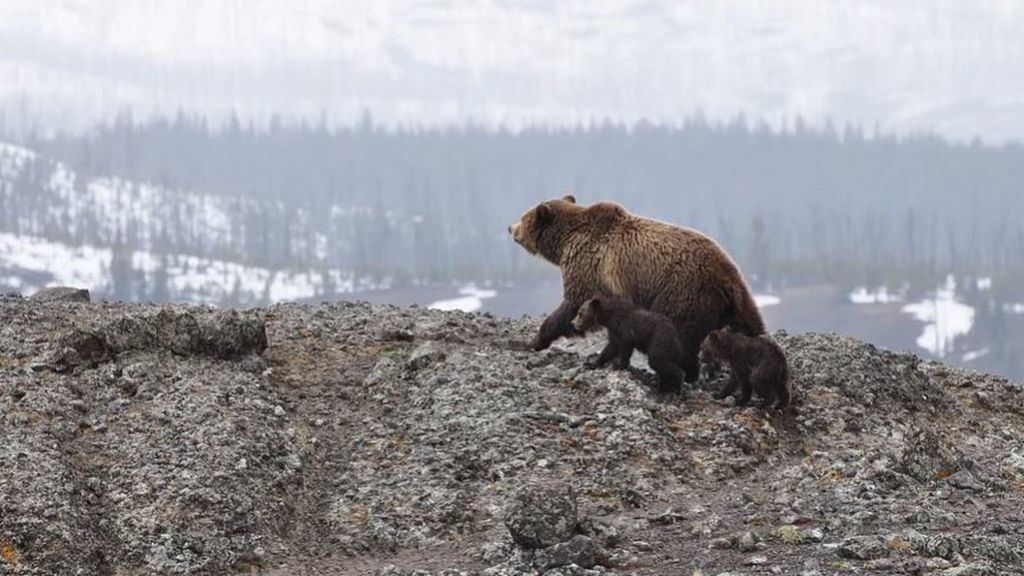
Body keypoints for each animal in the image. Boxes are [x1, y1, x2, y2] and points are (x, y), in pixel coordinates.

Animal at [508, 195, 764, 383]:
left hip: (682, 292)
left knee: (680, 337)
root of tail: (727, 276)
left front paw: (533, 341)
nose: (510, 227)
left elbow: (571, 305)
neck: (564, 243)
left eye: (523, 216)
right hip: (734, 304)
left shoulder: (589, 267)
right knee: (750, 327)